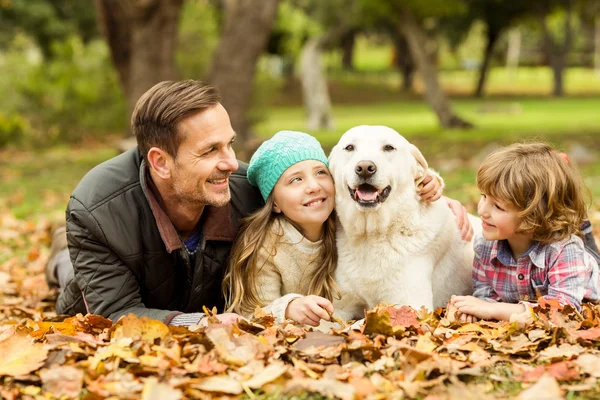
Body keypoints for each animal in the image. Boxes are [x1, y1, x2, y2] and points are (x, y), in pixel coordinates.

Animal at [328, 125, 478, 318]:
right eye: (349, 147)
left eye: (388, 148)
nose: (365, 168)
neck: (371, 234)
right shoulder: (338, 307)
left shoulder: (410, 304)